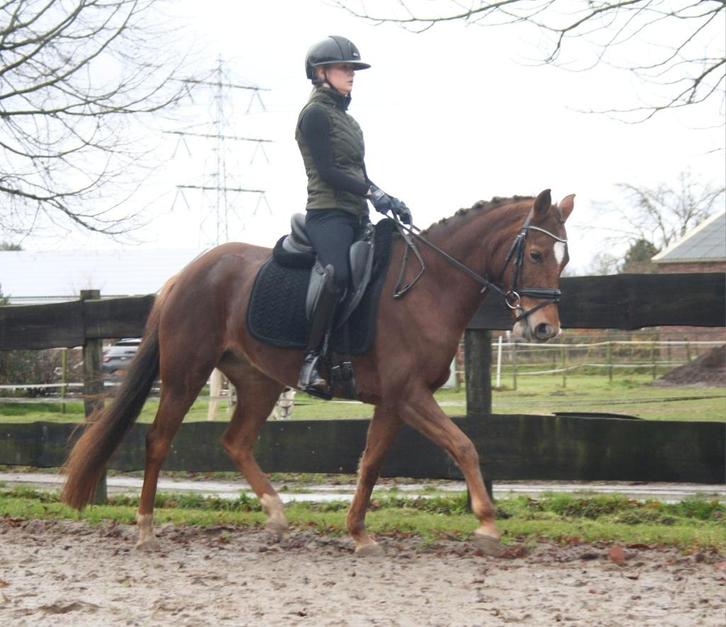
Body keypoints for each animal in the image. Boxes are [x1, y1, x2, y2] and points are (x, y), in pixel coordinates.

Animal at [61, 189, 574, 556]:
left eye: (563, 258)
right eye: (535, 255)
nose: (545, 328)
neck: (427, 287)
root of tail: (185, 275)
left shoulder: (394, 401)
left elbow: (371, 462)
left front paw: (359, 534)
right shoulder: (409, 395)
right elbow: (464, 446)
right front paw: (487, 524)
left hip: (259, 382)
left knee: (236, 441)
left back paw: (275, 515)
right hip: (186, 375)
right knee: (158, 441)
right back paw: (146, 529)